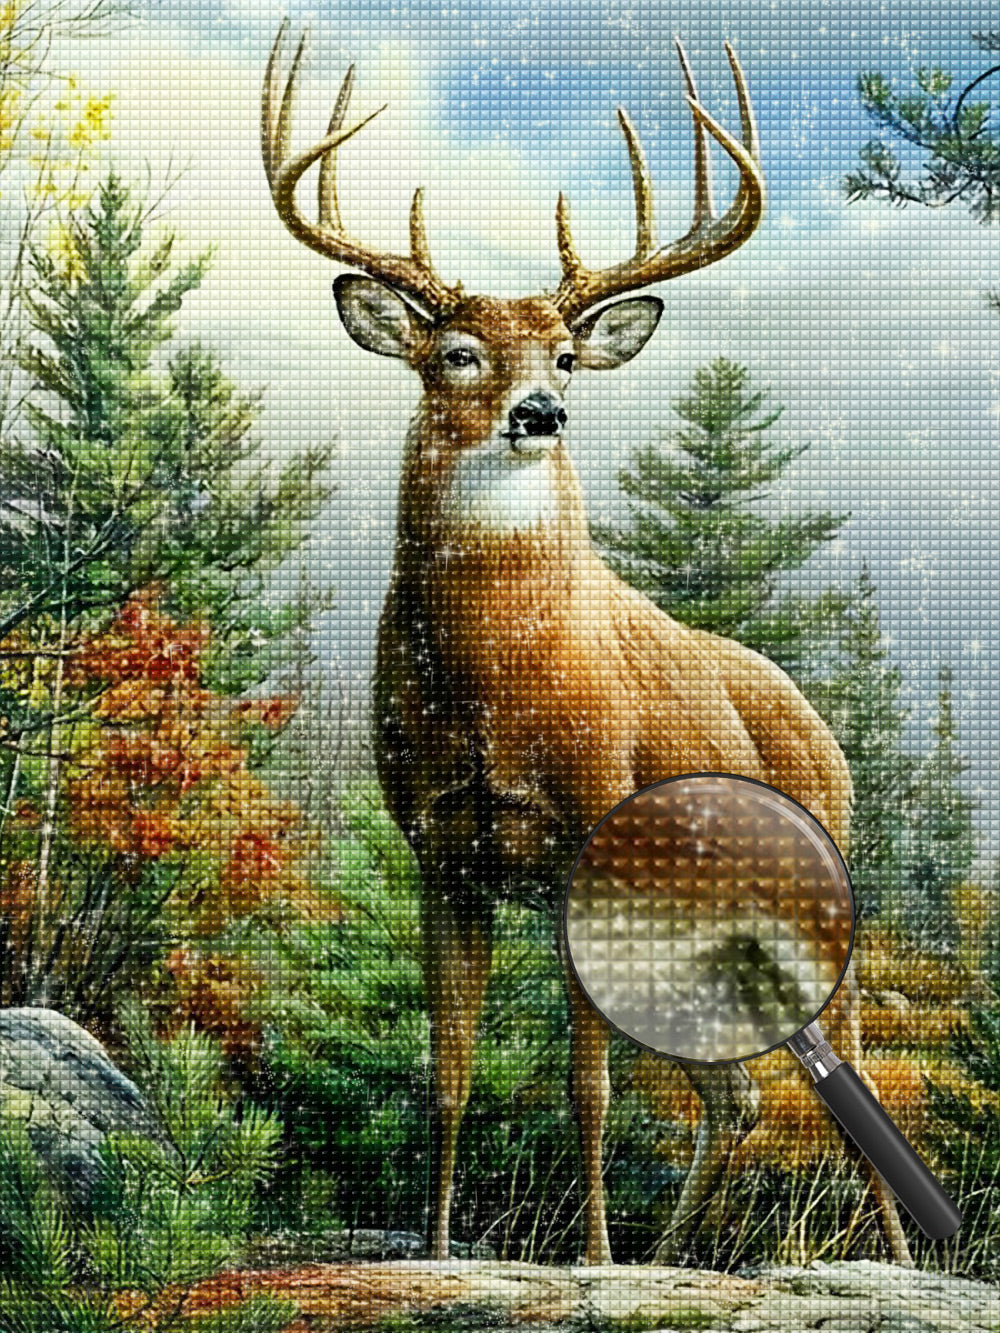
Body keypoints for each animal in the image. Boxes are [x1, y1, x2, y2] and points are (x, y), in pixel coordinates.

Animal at [262, 22, 912, 1267]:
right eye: (457, 351)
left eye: (563, 354)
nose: (541, 413)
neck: (490, 687)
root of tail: (822, 728)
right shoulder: (439, 849)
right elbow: (449, 1075)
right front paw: (436, 1250)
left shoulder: (582, 835)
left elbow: (586, 1085)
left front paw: (596, 1260)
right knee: (734, 1095)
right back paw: (675, 1258)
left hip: (815, 899)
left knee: (837, 1077)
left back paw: (898, 1262)